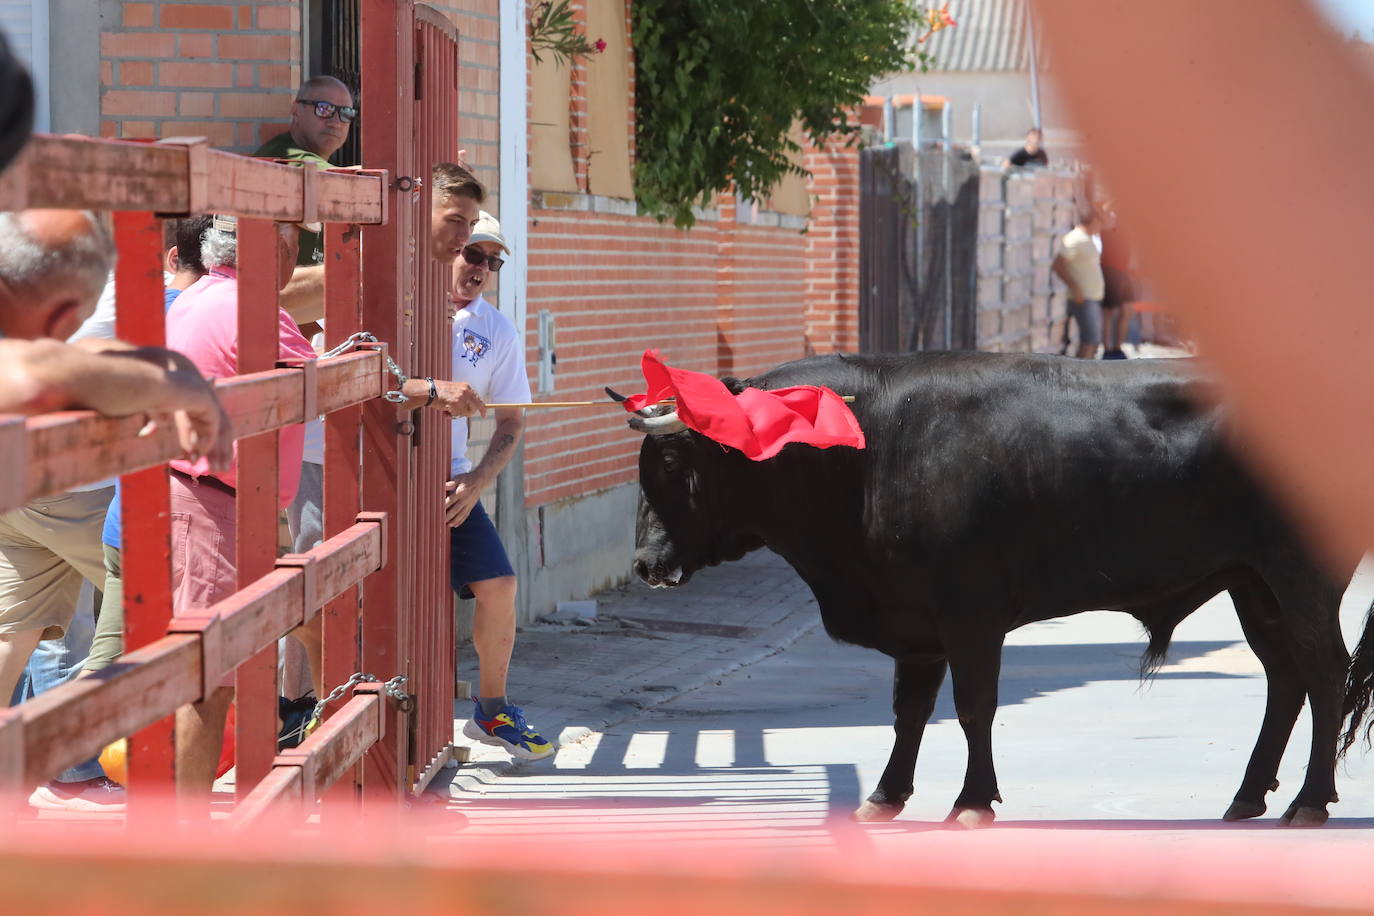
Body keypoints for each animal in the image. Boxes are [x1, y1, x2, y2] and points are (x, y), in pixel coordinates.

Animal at [629, 351, 1368, 823]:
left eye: (673, 460)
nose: (643, 565)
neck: (869, 453)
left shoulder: (970, 614)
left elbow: (973, 707)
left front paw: (971, 801)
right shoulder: (916, 625)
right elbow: (908, 712)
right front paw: (886, 796)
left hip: (1299, 578)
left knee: (1325, 673)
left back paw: (1308, 802)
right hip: (1253, 587)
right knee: (1286, 678)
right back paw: (1249, 796)